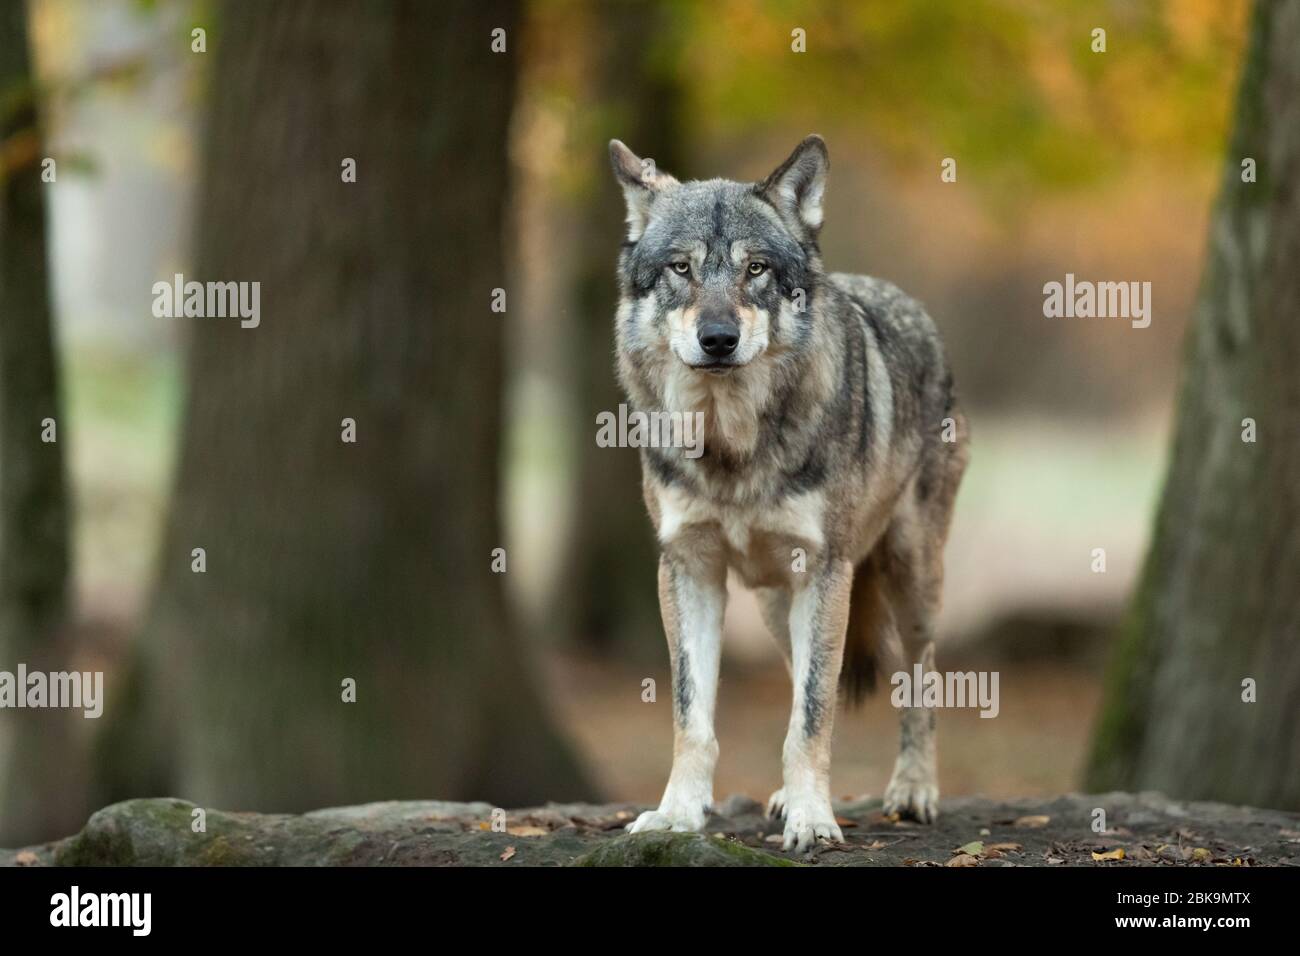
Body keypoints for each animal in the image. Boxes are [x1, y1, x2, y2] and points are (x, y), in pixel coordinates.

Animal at [609, 135, 970, 851]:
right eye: (681, 269)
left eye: (755, 269)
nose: (718, 339)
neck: (731, 447)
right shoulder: (688, 569)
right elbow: (694, 717)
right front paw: (678, 813)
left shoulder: (824, 573)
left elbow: (813, 714)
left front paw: (813, 819)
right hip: (778, 605)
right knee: (801, 671)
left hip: (909, 580)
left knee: (921, 678)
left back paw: (913, 791)